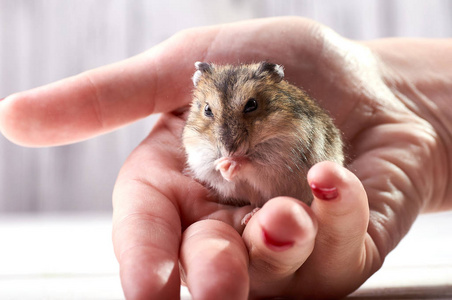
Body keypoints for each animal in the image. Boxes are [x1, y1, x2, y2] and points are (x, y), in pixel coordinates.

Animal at [180, 61, 342, 211]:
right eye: (207, 109)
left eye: (252, 104)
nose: (229, 151)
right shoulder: (199, 155)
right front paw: (222, 164)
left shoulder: (279, 158)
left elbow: (253, 164)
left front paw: (230, 163)